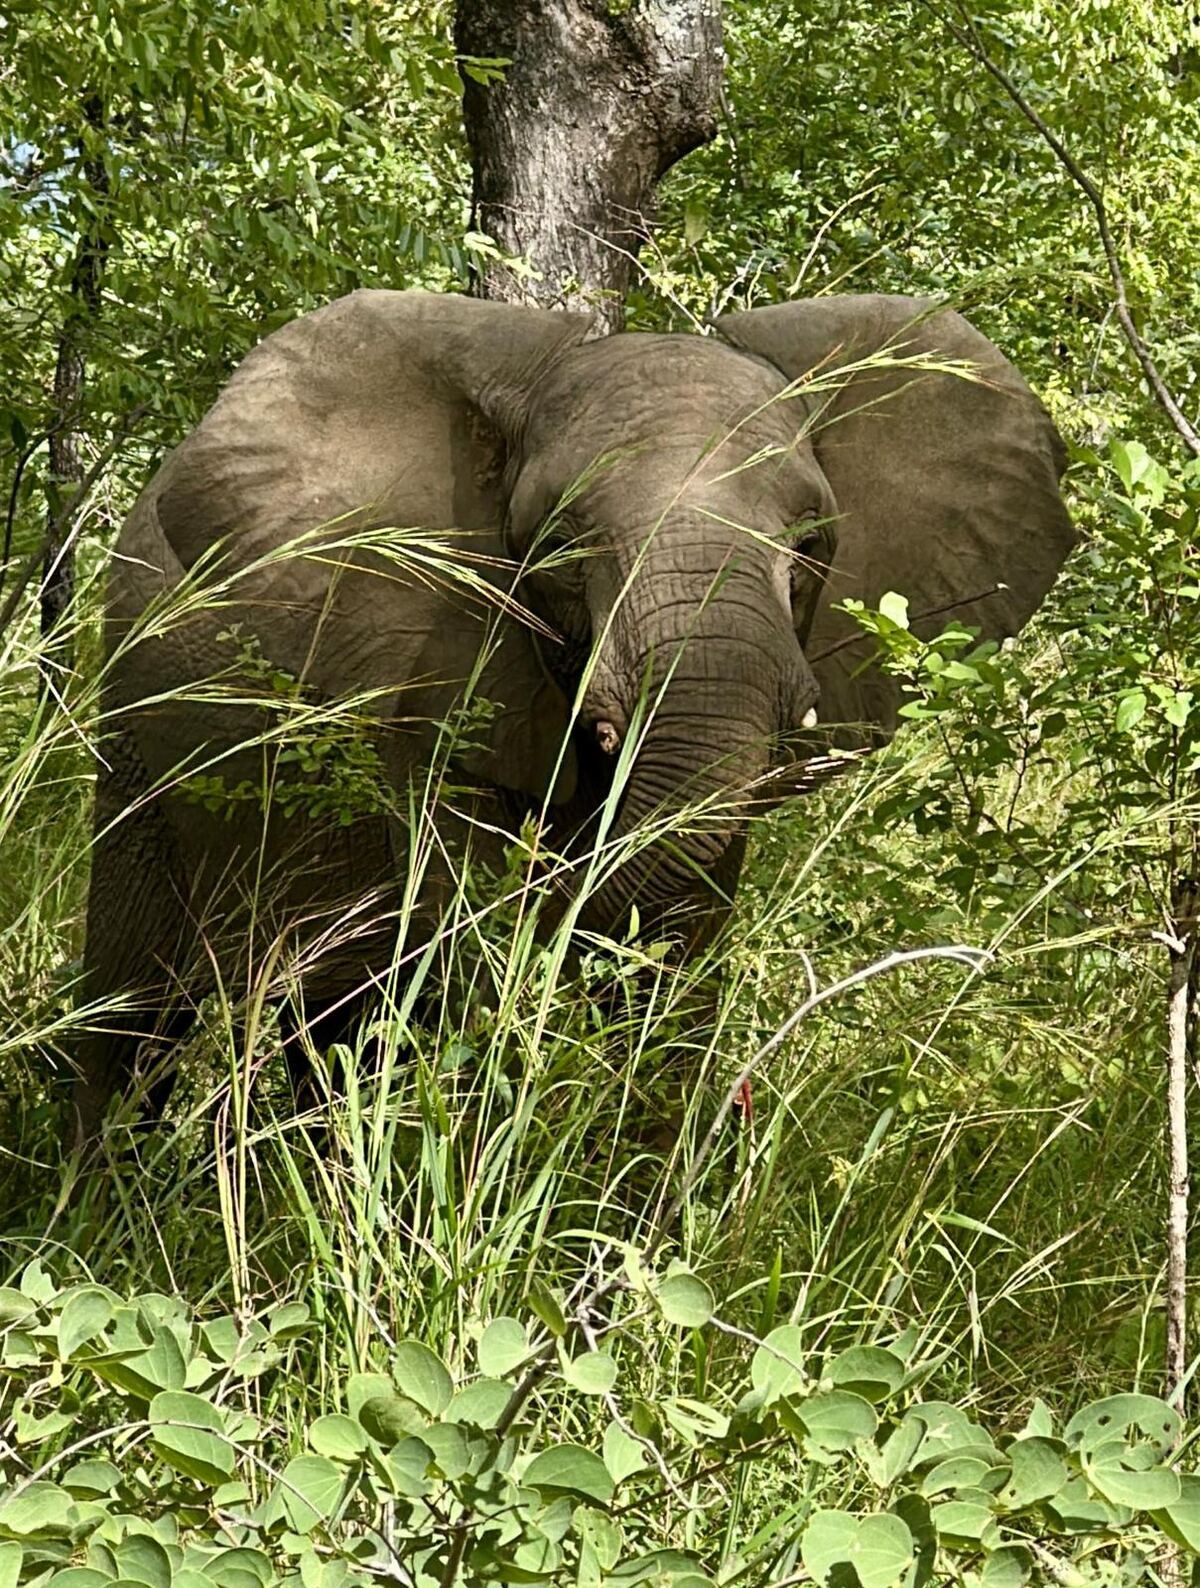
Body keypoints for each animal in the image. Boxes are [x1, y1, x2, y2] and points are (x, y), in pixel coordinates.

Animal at [70, 288, 1075, 1148]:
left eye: (812, 542)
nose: (746, 1111)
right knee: (140, 1013)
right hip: (131, 737)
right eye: (558, 547)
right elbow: (445, 946)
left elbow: (673, 972)